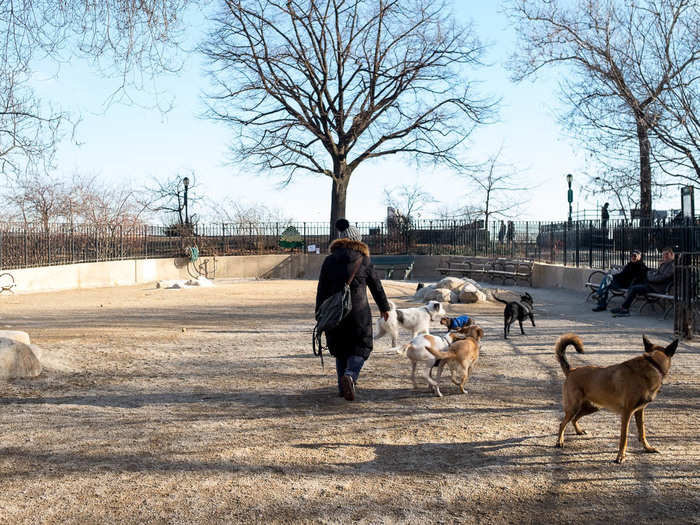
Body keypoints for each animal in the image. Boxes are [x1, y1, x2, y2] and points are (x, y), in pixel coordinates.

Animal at [552, 332, 680, 462]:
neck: (653, 363)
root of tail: (571, 371)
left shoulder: (640, 411)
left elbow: (642, 432)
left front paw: (648, 448)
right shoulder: (627, 413)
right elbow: (624, 436)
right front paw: (620, 456)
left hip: (592, 407)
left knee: (574, 419)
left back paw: (578, 431)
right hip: (574, 407)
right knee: (562, 423)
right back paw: (559, 442)